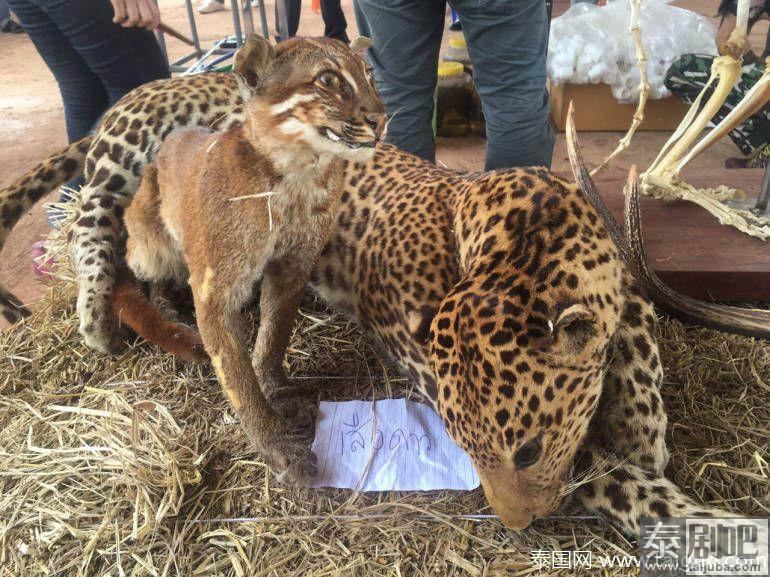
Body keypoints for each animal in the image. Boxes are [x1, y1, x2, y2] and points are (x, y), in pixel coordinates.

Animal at [0, 35, 760, 532]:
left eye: (528, 449)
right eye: (472, 450)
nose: (517, 527)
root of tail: (140, 94)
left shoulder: (615, 290)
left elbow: (636, 334)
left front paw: (644, 427)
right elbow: (622, 480)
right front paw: (703, 516)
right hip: (126, 169)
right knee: (100, 234)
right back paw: (104, 321)